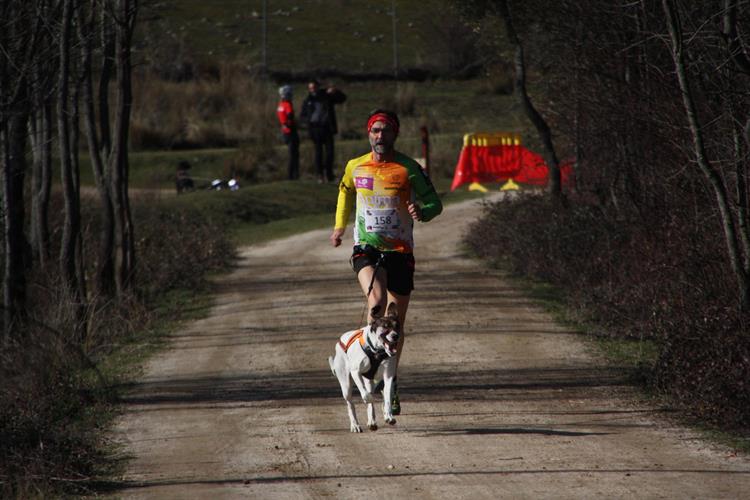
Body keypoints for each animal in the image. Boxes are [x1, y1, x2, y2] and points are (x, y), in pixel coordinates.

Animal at [328, 302, 402, 432]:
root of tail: (339, 343)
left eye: (397, 326)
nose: (395, 336)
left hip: (369, 381)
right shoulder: (356, 372)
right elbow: (366, 395)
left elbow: (387, 396)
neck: (376, 351)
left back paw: (372, 421)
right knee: (350, 404)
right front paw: (369, 399)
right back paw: (355, 425)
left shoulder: (388, 376)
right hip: (346, 385)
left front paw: (389, 415)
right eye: (385, 326)